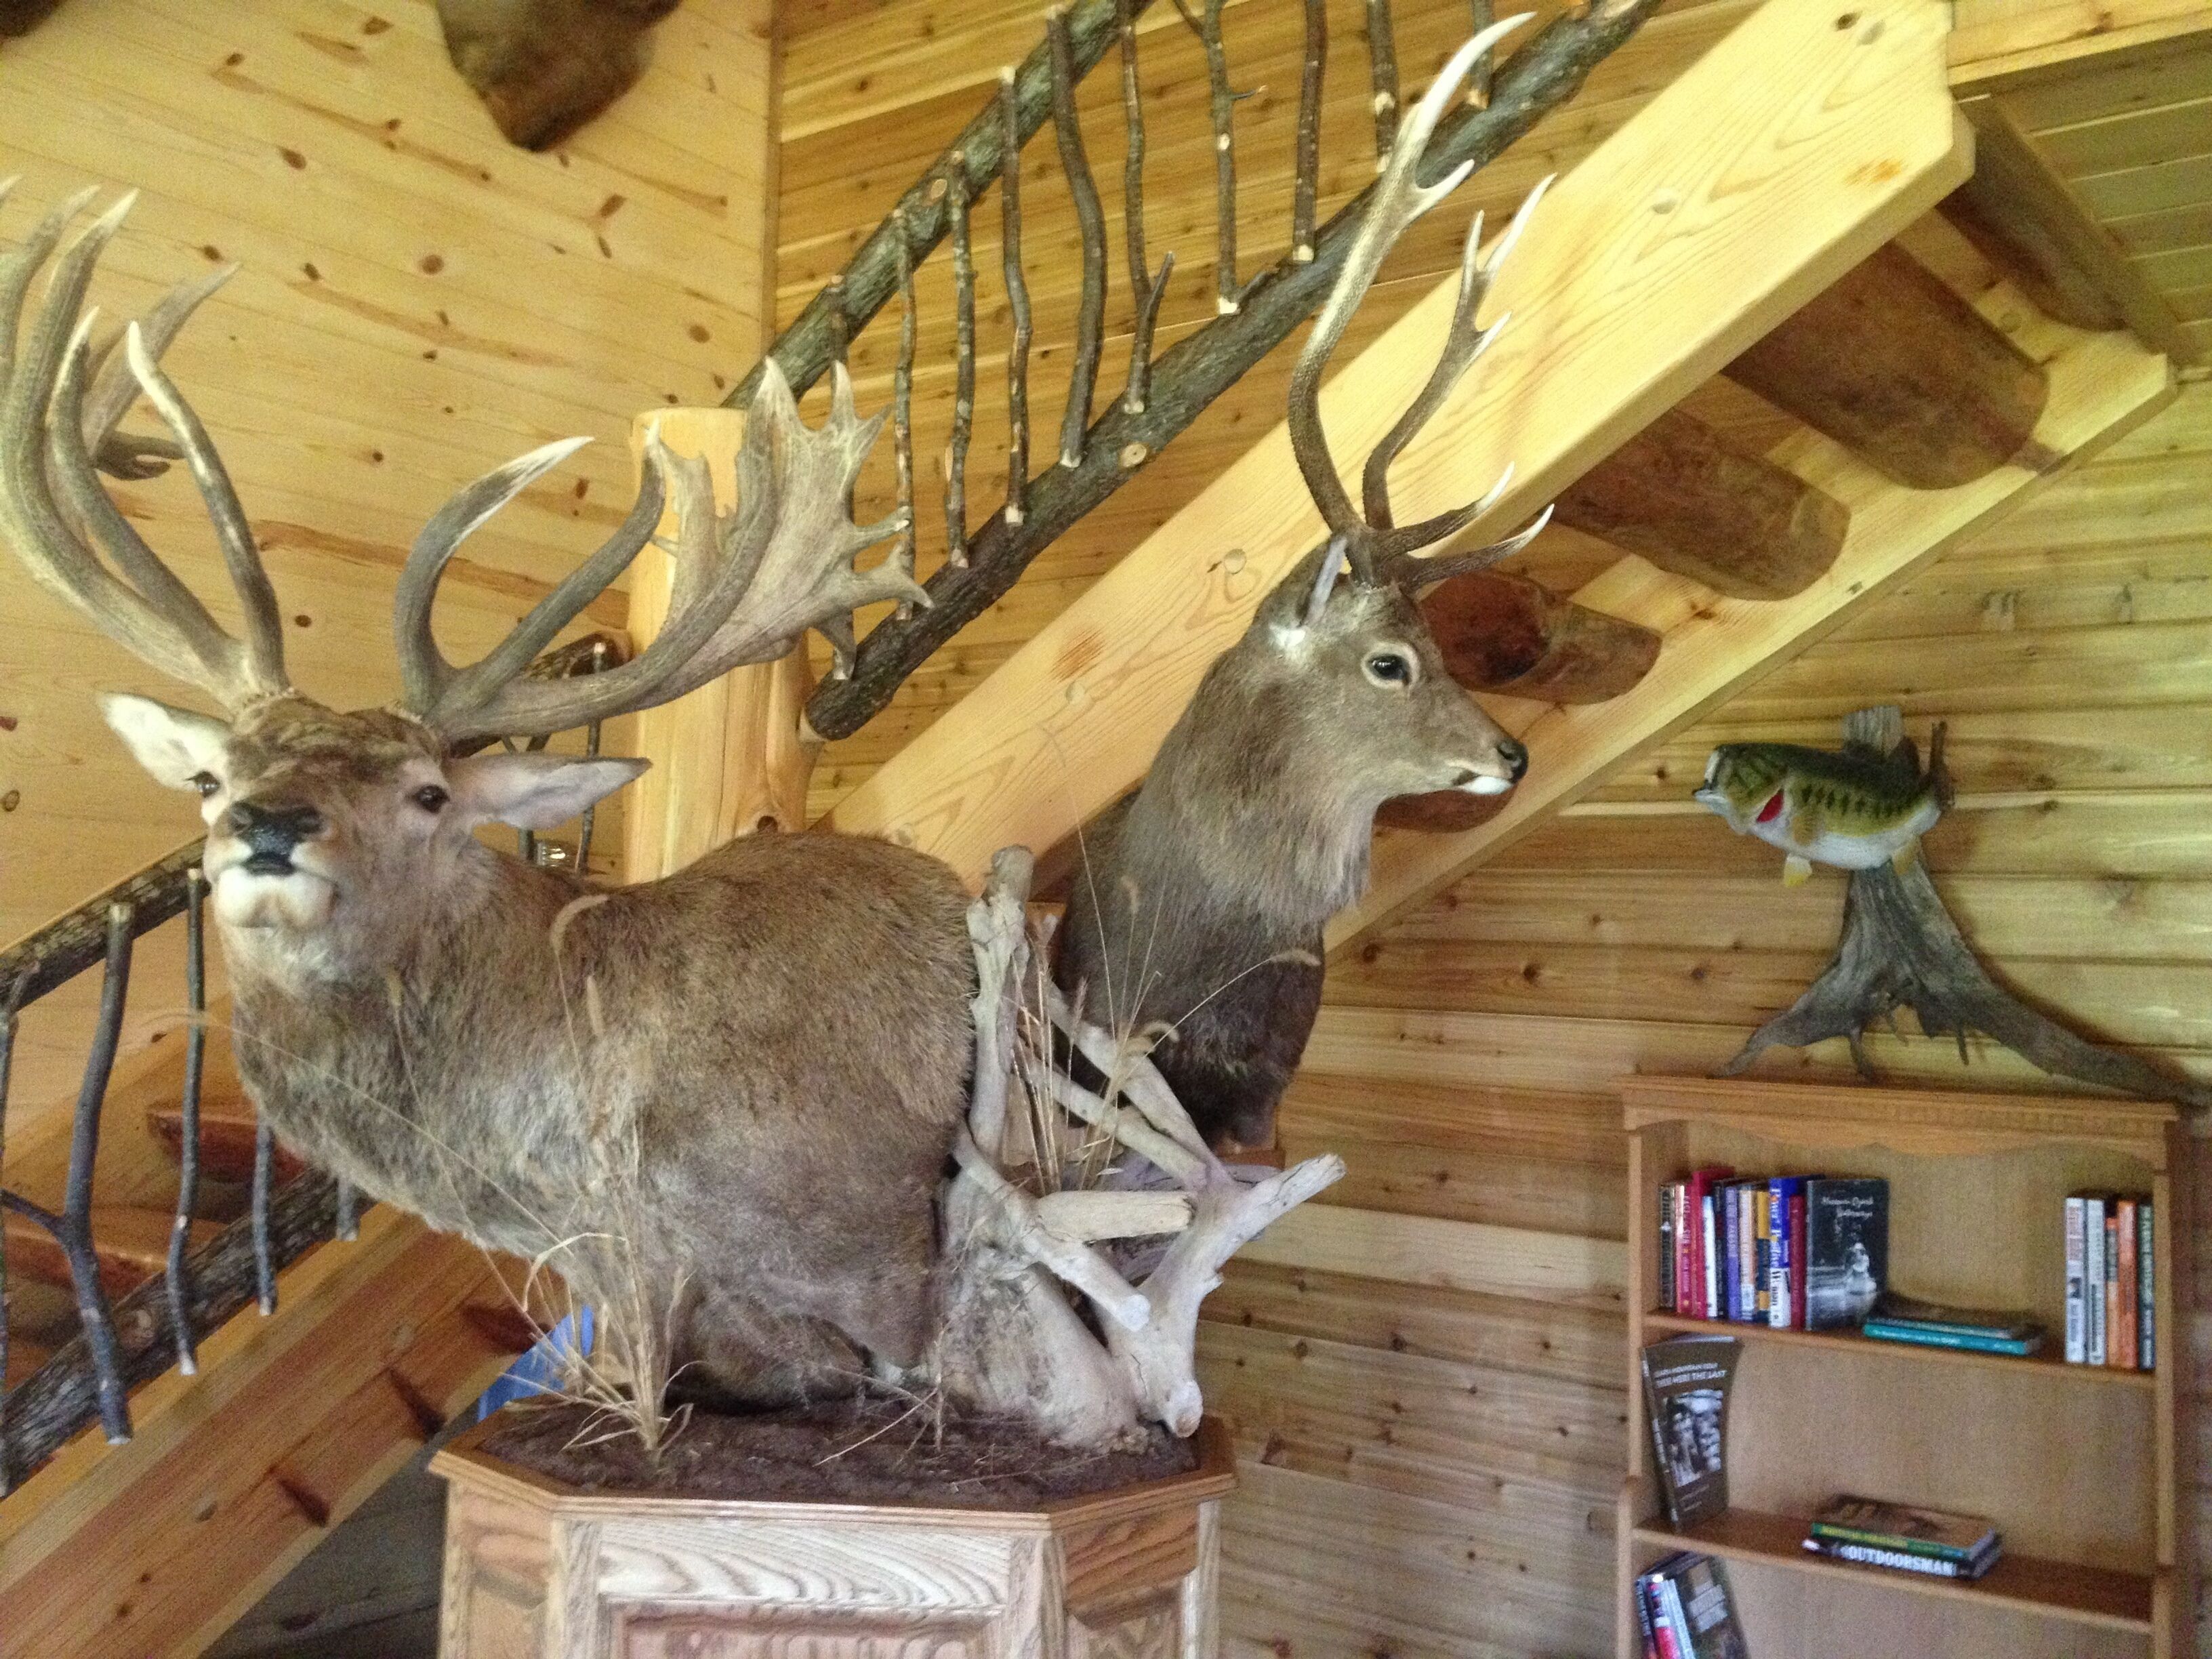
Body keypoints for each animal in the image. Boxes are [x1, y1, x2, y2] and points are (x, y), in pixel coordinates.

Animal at [1057, 22, 1553, 1153]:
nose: (1511, 753)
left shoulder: (1265, 1099)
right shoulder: (1092, 1055)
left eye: (1443, 641)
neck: (1182, 955)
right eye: (1390, 661)